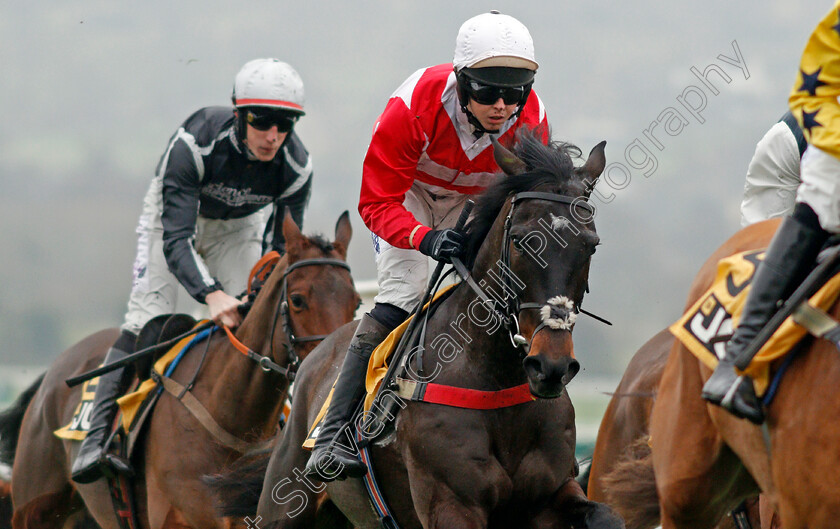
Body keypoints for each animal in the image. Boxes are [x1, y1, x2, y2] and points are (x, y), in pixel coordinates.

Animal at [7, 212, 360, 528]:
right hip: (34, 508)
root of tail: (50, 376)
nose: (332, 366)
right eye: (297, 300)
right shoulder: (179, 518)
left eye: (356, 302)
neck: (229, 416)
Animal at [226, 135, 628, 528]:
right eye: (521, 240)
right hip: (284, 500)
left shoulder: (552, 493)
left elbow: (608, 516)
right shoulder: (451, 503)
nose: (551, 366)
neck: (496, 382)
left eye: (591, 245)